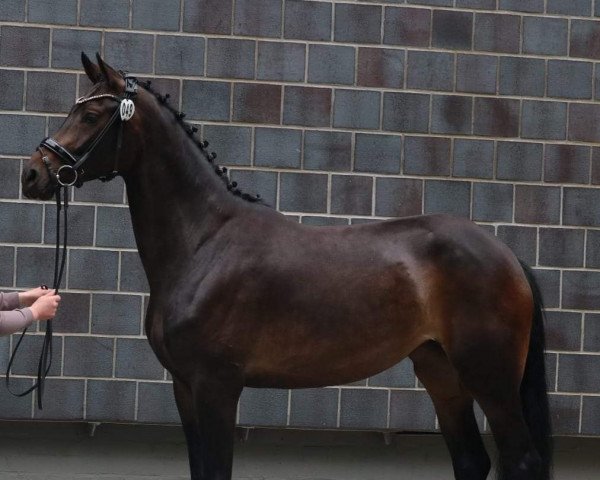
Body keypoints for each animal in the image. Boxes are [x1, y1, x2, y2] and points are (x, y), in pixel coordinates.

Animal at [21, 53, 552, 480]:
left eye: (91, 114)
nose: (33, 174)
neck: (205, 242)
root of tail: (506, 254)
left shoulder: (217, 387)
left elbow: (217, 470)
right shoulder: (184, 388)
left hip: (491, 378)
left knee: (520, 460)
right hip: (442, 373)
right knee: (471, 461)